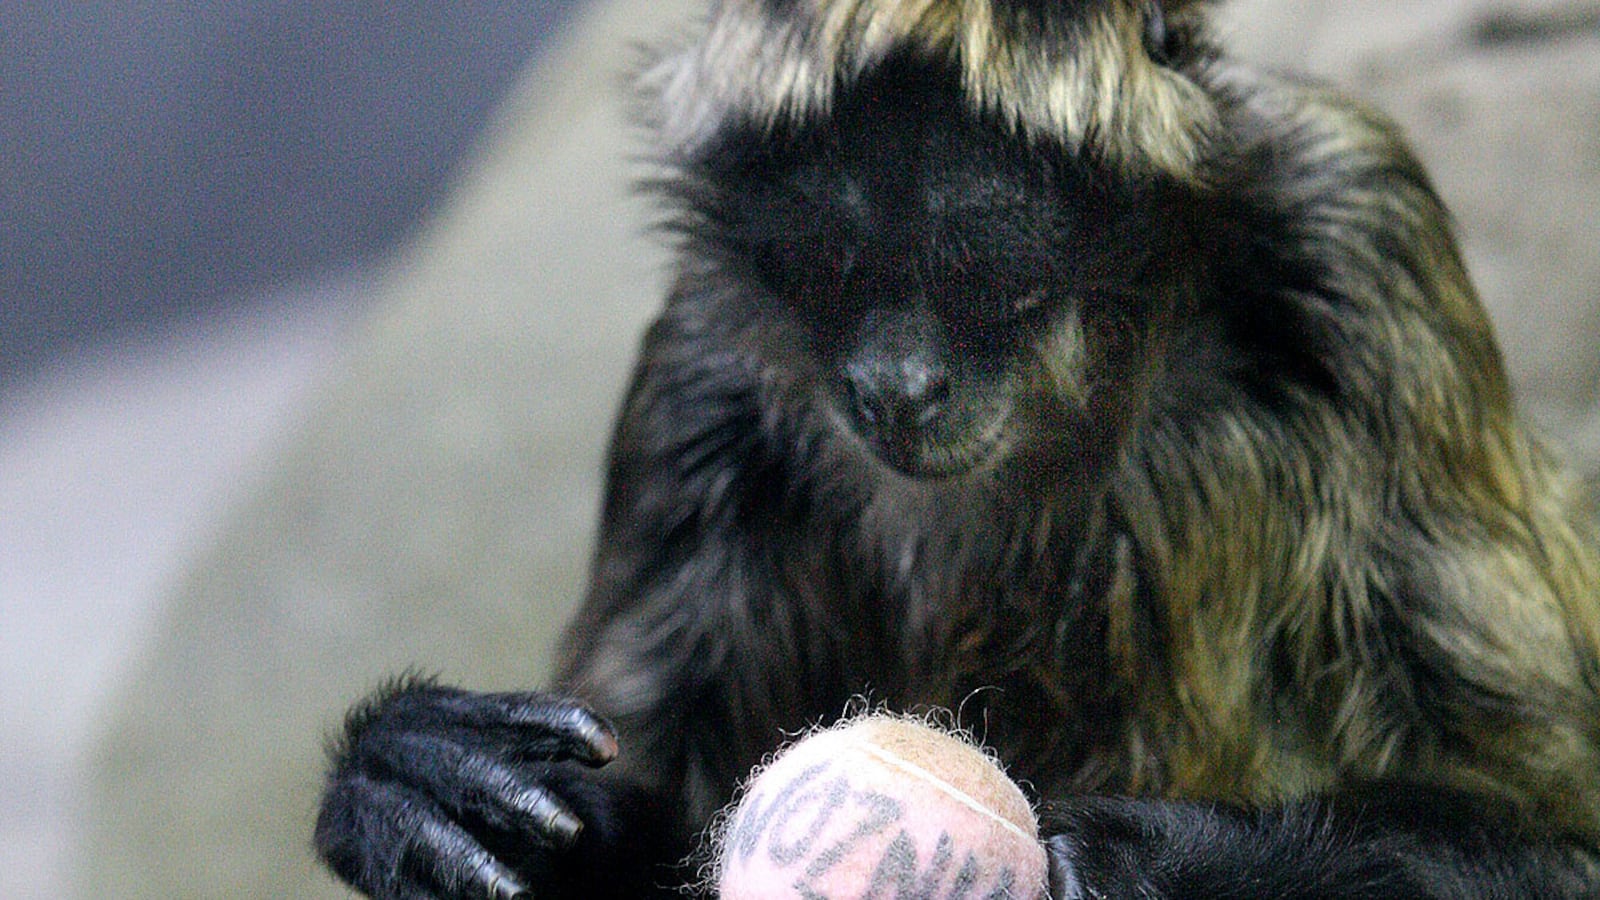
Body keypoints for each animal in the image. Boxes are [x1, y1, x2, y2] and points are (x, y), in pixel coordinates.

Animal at [314, 1, 1600, 897]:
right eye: (826, 263)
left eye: (984, 269)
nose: (895, 386)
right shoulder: (701, 359)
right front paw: (406, 784)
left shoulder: (1355, 231)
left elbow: (1571, 843)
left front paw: (1161, 862)